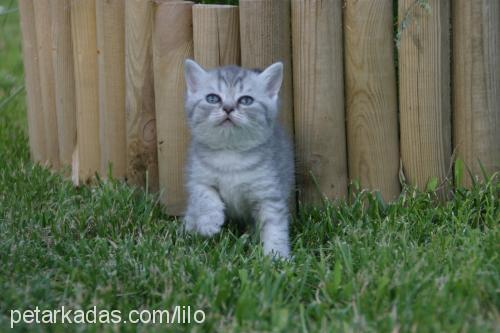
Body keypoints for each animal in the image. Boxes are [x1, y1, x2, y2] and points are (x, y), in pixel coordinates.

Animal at [183, 59, 292, 256]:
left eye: (246, 100)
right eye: (213, 98)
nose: (228, 108)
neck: (230, 152)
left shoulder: (269, 193)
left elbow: (274, 226)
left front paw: (277, 256)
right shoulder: (197, 176)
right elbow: (204, 194)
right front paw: (209, 222)